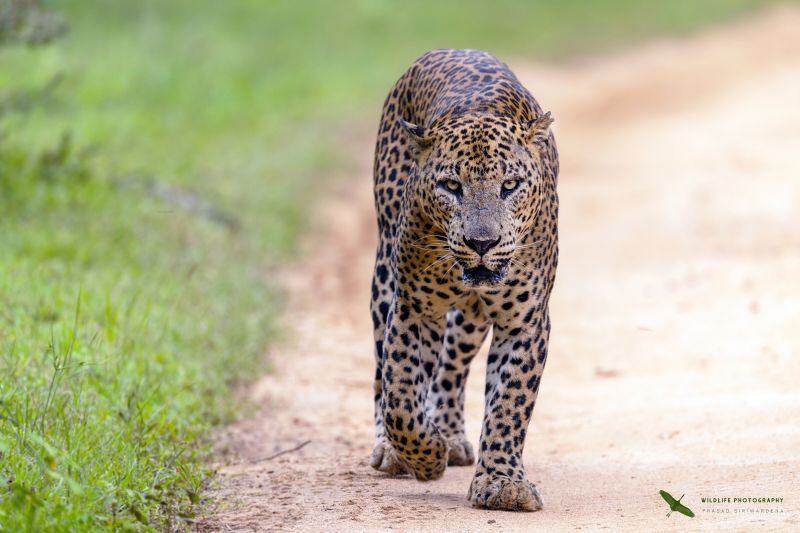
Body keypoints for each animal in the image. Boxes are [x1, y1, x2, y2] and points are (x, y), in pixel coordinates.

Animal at [368, 48, 559, 512]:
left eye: (510, 185)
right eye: (451, 185)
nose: (482, 242)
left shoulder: (526, 321)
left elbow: (509, 403)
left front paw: (502, 483)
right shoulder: (412, 310)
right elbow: (401, 395)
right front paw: (424, 456)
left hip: (469, 320)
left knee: (451, 369)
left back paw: (452, 435)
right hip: (383, 280)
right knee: (383, 371)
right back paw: (394, 449)